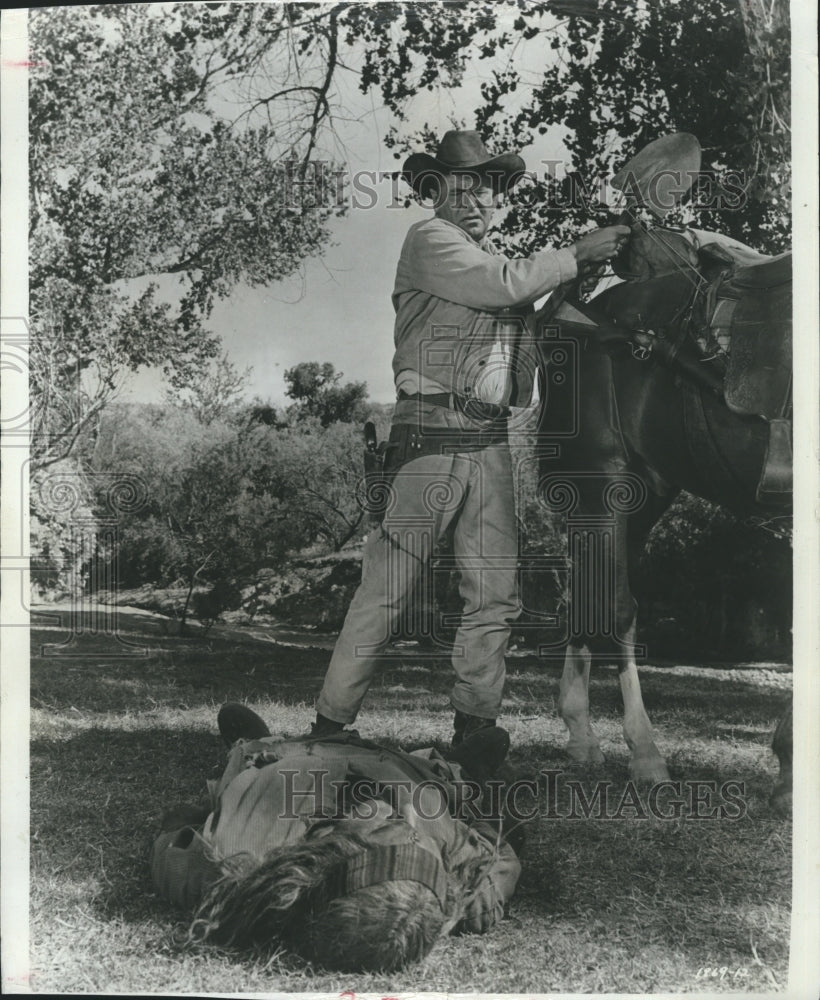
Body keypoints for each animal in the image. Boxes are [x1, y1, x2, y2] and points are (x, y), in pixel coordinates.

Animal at [536, 221, 792, 812]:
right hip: (600, 479)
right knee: (615, 604)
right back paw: (645, 752)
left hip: (644, 491)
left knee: (587, 593)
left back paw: (581, 734)